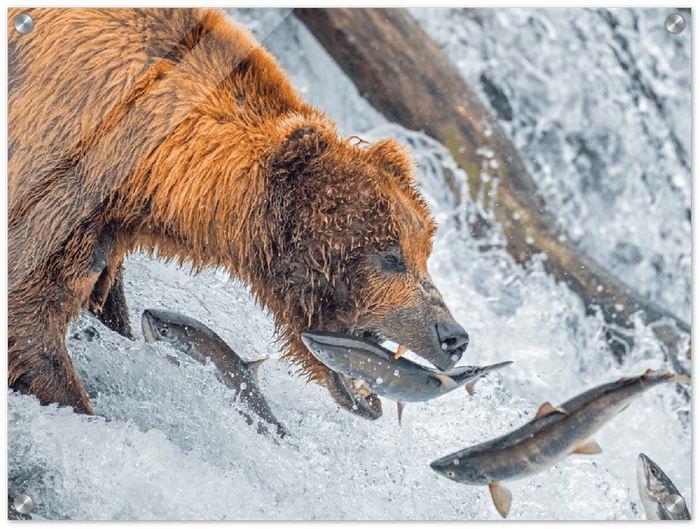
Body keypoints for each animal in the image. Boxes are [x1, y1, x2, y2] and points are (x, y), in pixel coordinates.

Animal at [7, 7, 469, 418]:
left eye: (423, 251)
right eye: (389, 255)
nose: (453, 336)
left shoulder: (105, 224)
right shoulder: (58, 174)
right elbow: (30, 318)